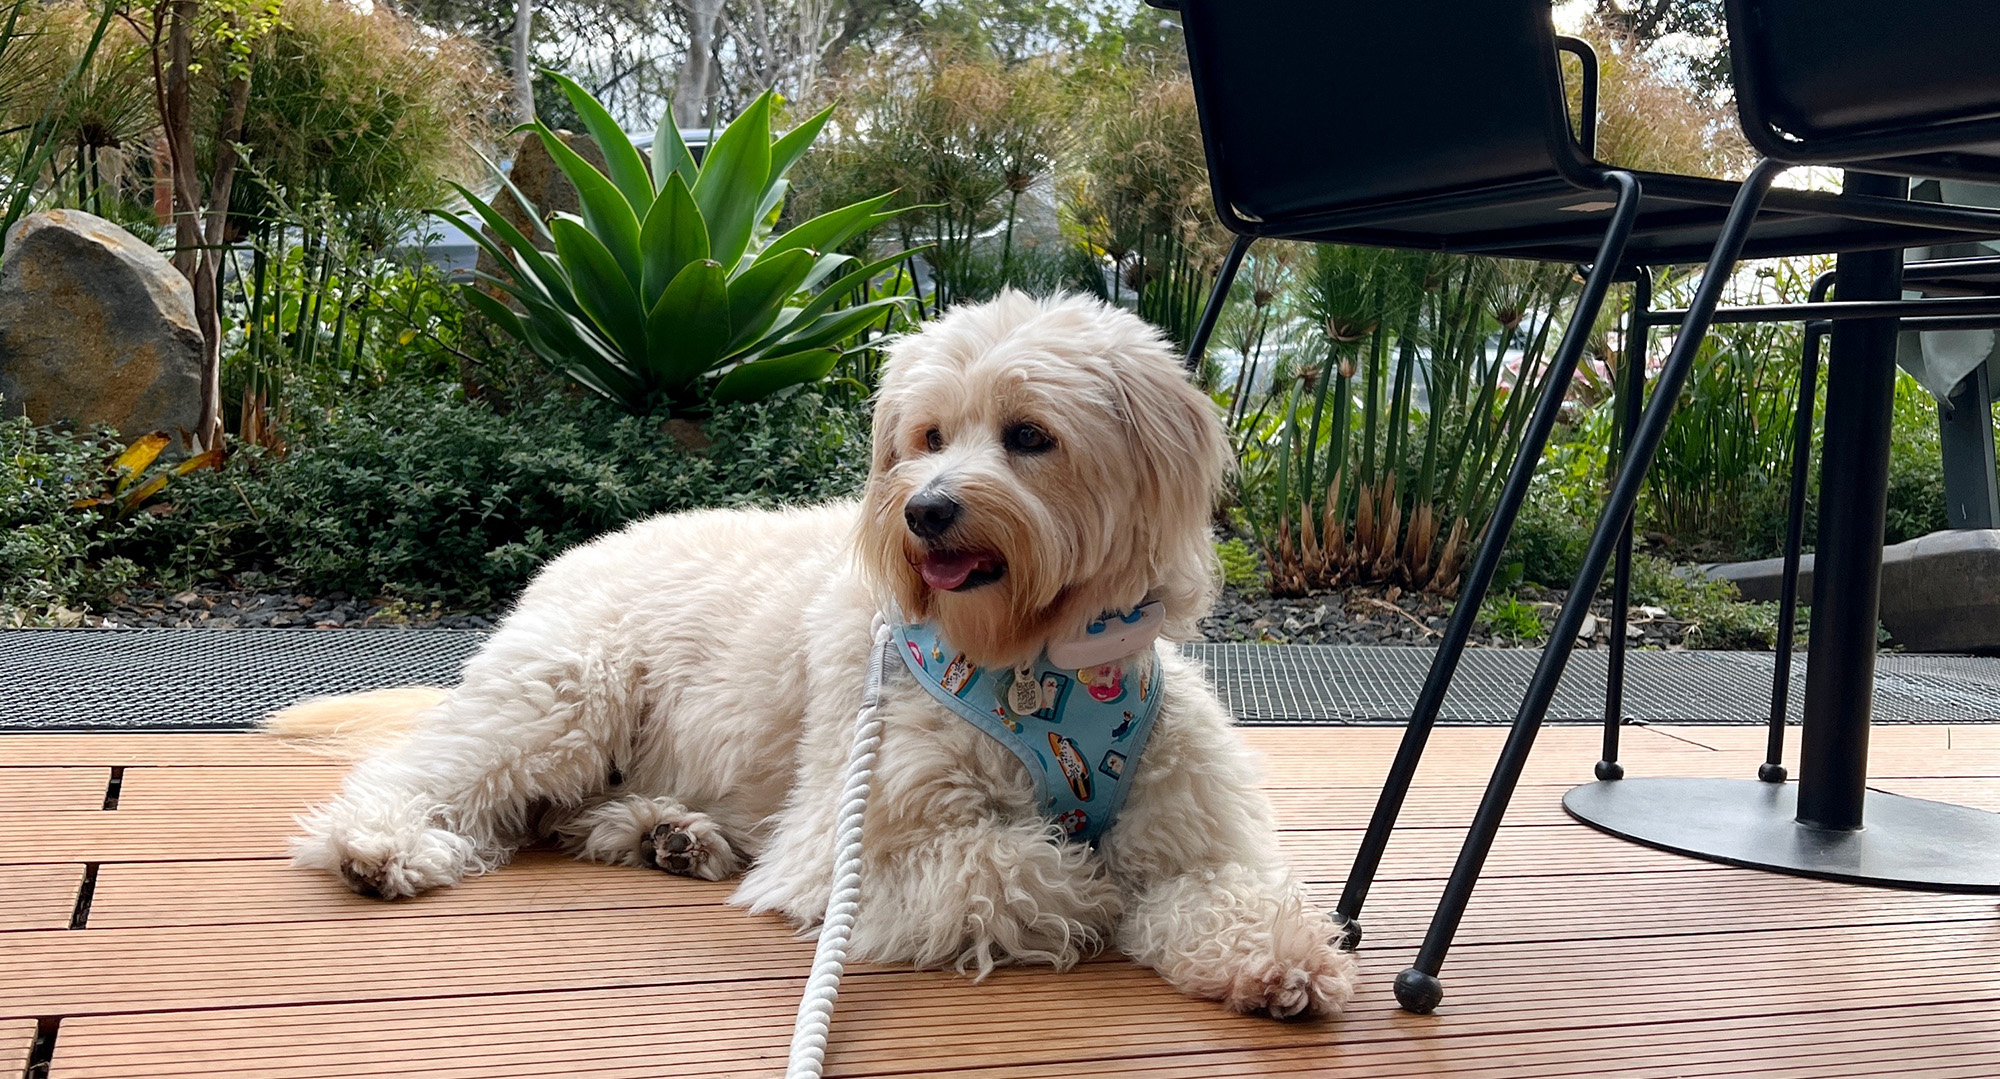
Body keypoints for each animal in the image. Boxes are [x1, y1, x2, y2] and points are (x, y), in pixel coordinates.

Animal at [270, 291, 1360, 1015]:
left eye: (1028, 434)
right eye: (927, 435)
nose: (924, 512)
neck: (1034, 666)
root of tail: (581, 549)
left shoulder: (1196, 825)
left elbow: (1214, 887)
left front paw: (1278, 956)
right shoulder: (857, 841)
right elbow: (1020, 870)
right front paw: (1100, 888)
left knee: (563, 811)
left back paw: (666, 832)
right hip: (562, 701)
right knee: (429, 771)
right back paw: (382, 844)